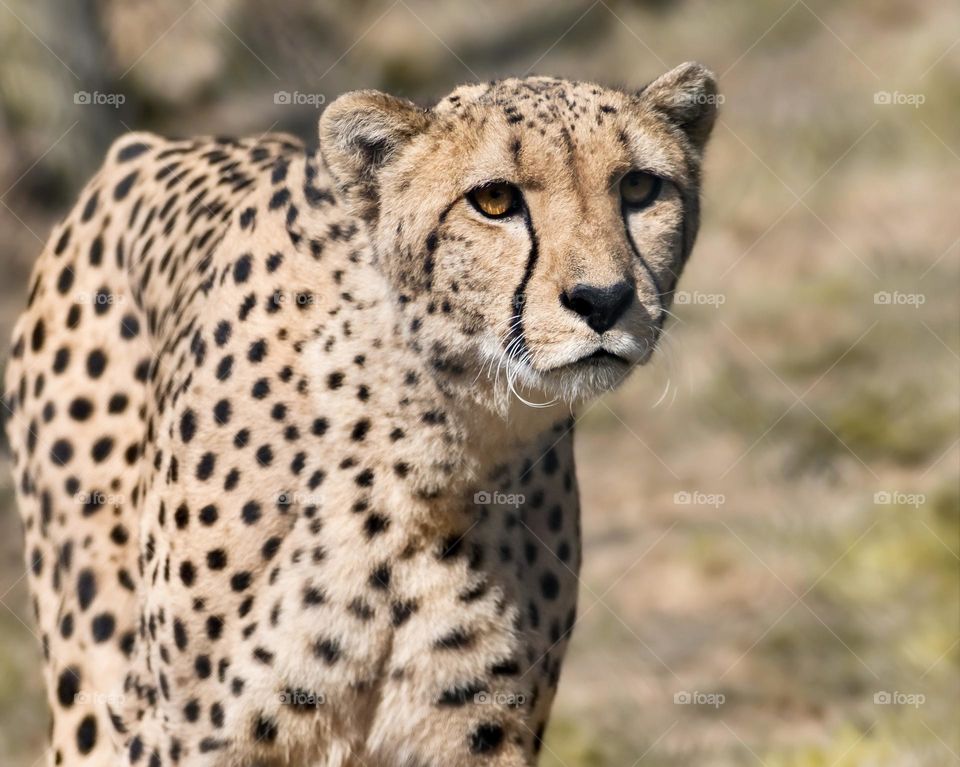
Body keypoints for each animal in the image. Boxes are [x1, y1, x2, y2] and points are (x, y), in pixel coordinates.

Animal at [3, 63, 716, 764]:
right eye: (494, 201)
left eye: (640, 187)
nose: (602, 299)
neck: (434, 450)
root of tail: (149, 147)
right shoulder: (184, 734)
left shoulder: (477, 734)